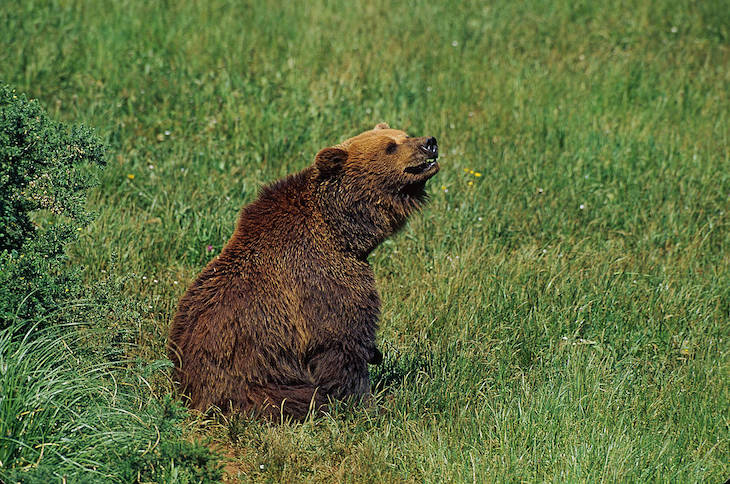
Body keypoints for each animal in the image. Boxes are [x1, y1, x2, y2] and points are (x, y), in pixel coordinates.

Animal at [168, 123, 439, 420]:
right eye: (390, 147)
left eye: (405, 134)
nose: (429, 142)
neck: (343, 232)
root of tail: (189, 391)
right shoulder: (319, 281)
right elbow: (342, 342)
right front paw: (368, 404)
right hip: (254, 384)